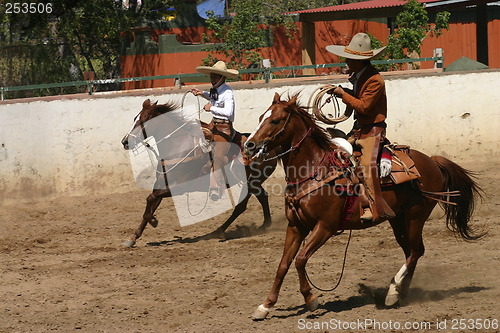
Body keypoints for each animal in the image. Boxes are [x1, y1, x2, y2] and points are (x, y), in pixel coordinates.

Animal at [121, 97, 278, 245]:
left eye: (145, 118)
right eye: (135, 118)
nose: (125, 141)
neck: (177, 147)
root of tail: (268, 147)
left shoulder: (179, 187)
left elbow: (149, 200)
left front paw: (154, 221)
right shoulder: (160, 185)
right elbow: (150, 205)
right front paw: (133, 237)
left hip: (251, 183)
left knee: (241, 207)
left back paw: (219, 230)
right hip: (254, 183)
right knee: (262, 196)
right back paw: (264, 225)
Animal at [244, 92, 482, 320]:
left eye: (275, 120)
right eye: (260, 117)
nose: (249, 145)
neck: (313, 171)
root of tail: (432, 161)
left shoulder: (325, 227)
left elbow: (300, 260)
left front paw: (311, 299)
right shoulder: (296, 226)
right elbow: (283, 264)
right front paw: (265, 306)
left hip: (415, 217)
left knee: (416, 251)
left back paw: (392, 292)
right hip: (398, 220)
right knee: (411, 252)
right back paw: (401, 294)